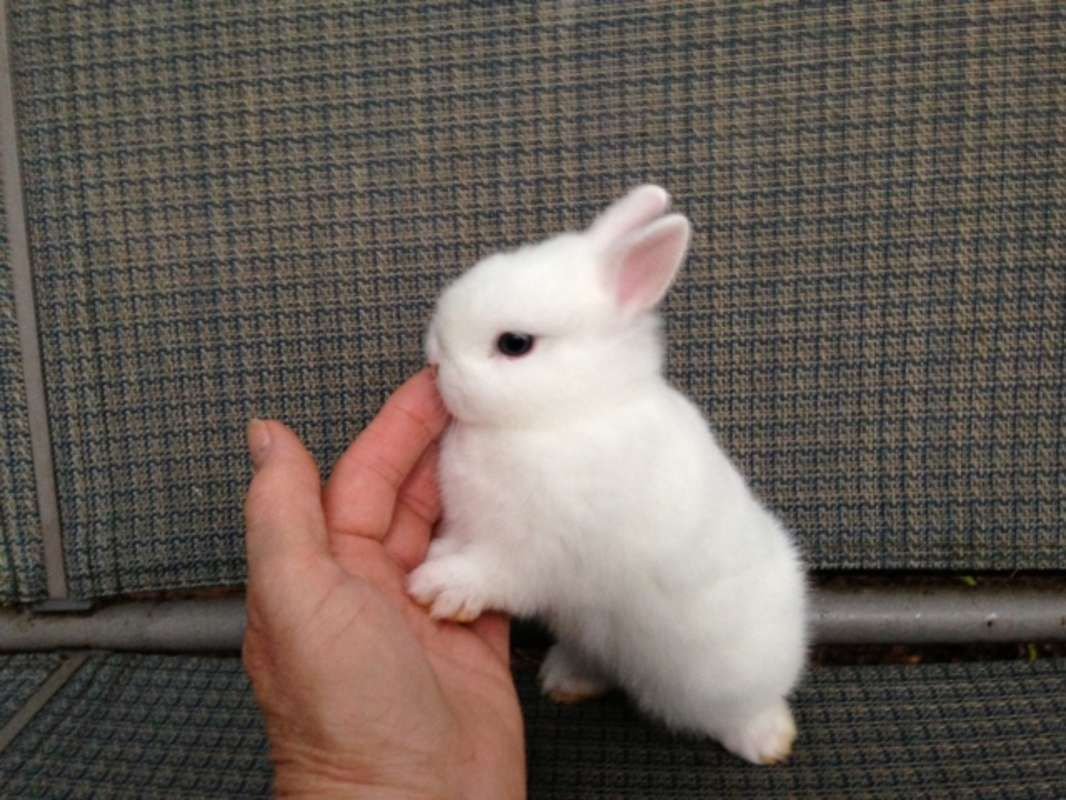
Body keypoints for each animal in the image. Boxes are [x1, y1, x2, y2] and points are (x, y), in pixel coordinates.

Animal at [408, 185, 809, 765]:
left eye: (514, 344)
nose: (435, 363)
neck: (564, 414)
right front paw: (439, 559)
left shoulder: (539, 551)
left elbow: (496, 572)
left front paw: (442, 587)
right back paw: (566, 683)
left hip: (727, 670)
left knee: (750, 699)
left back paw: (767, 740)